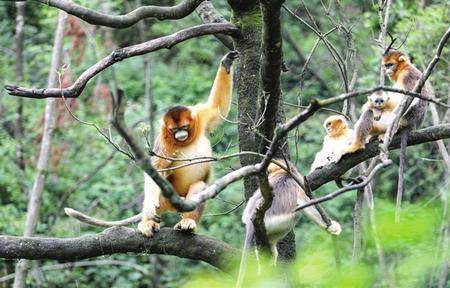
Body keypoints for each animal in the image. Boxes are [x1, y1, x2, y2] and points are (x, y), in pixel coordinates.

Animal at [139, 51, 239, 236]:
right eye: (174, 130)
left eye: (184, 127)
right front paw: (149, 209)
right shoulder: (163, 142)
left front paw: (226, 64)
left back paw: (188, 222)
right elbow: (157, 170)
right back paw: (148, 222)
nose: (180, 134)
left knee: (199, 186)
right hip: (169, 200)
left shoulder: (200, 116)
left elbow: (217, 108)